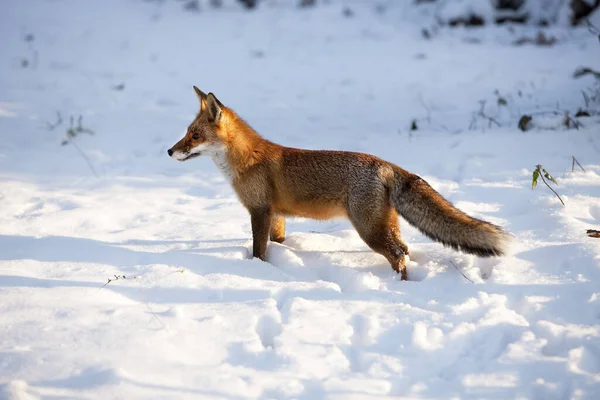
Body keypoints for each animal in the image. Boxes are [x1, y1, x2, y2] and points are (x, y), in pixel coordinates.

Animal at [169, 86, 510, 282]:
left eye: (195, 136)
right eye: (186, 132)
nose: (170, 151)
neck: (246, 159)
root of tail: (386, 164)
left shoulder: (259, 210)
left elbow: (258, 250)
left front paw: (258, 271)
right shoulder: (276, 215)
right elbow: (277, 242)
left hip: (368, 229)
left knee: (397, 253)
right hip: (384, 224)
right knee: (404, 248)